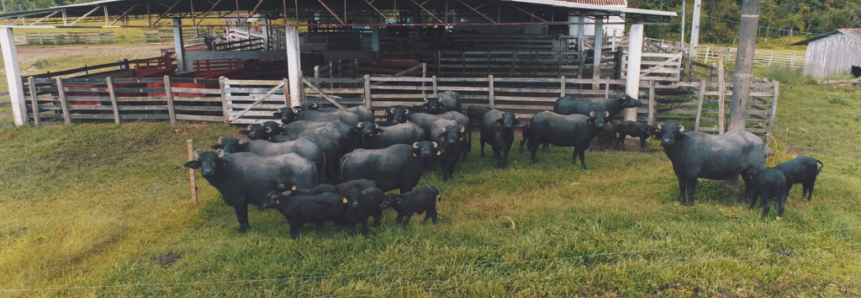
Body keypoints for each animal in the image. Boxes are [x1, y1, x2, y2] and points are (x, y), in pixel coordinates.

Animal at [183, 150, 318, 234]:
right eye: (201, 161)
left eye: (215, 160)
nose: (208, 172)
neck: (226, 172)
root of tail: (310, 163)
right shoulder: (243, 202)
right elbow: (245, 217)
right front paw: (247, 229)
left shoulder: (238, 201)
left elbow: (241, 217)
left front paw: (242, 231)